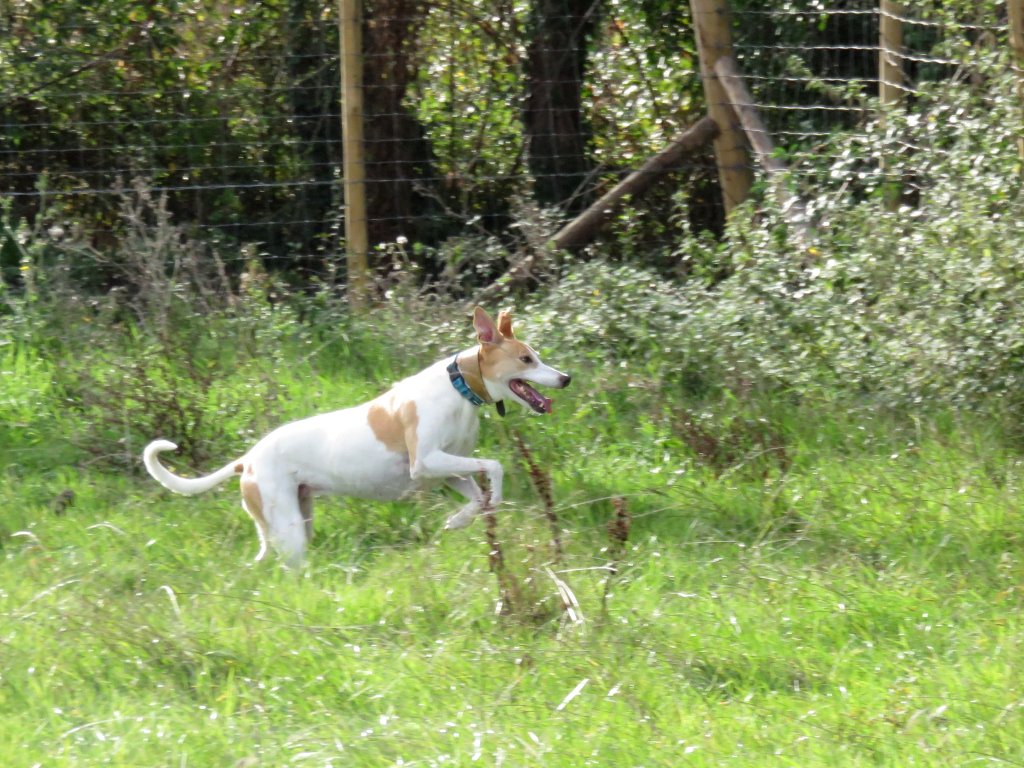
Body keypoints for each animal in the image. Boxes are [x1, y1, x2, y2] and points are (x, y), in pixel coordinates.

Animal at [141, 307, 573, 565]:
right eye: (526, 359)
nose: (566, 378)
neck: (459, 387)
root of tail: (246, 459)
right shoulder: (426, 463)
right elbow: (495, 468)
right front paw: (489, 503)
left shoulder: (446, 470)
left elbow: (477, 495)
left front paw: (460, 519)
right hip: (290, 532)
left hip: (294, 517)